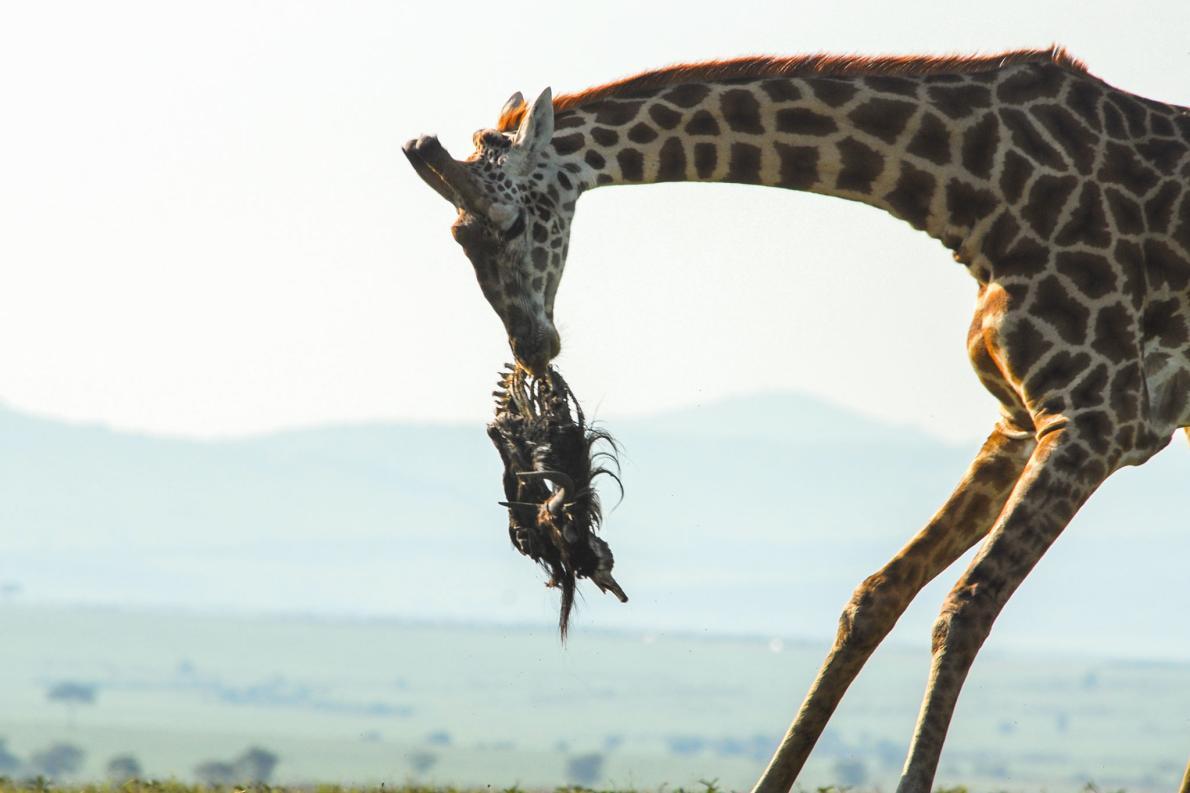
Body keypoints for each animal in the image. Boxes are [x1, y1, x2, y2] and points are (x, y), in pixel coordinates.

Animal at [402, 46, 1190, 785]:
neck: (978, 198)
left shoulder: (1098, 419)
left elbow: (966, 605)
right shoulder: (1019, 419)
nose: (533, 346)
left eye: (511, 223)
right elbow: (876, 595)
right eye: (459, 239)